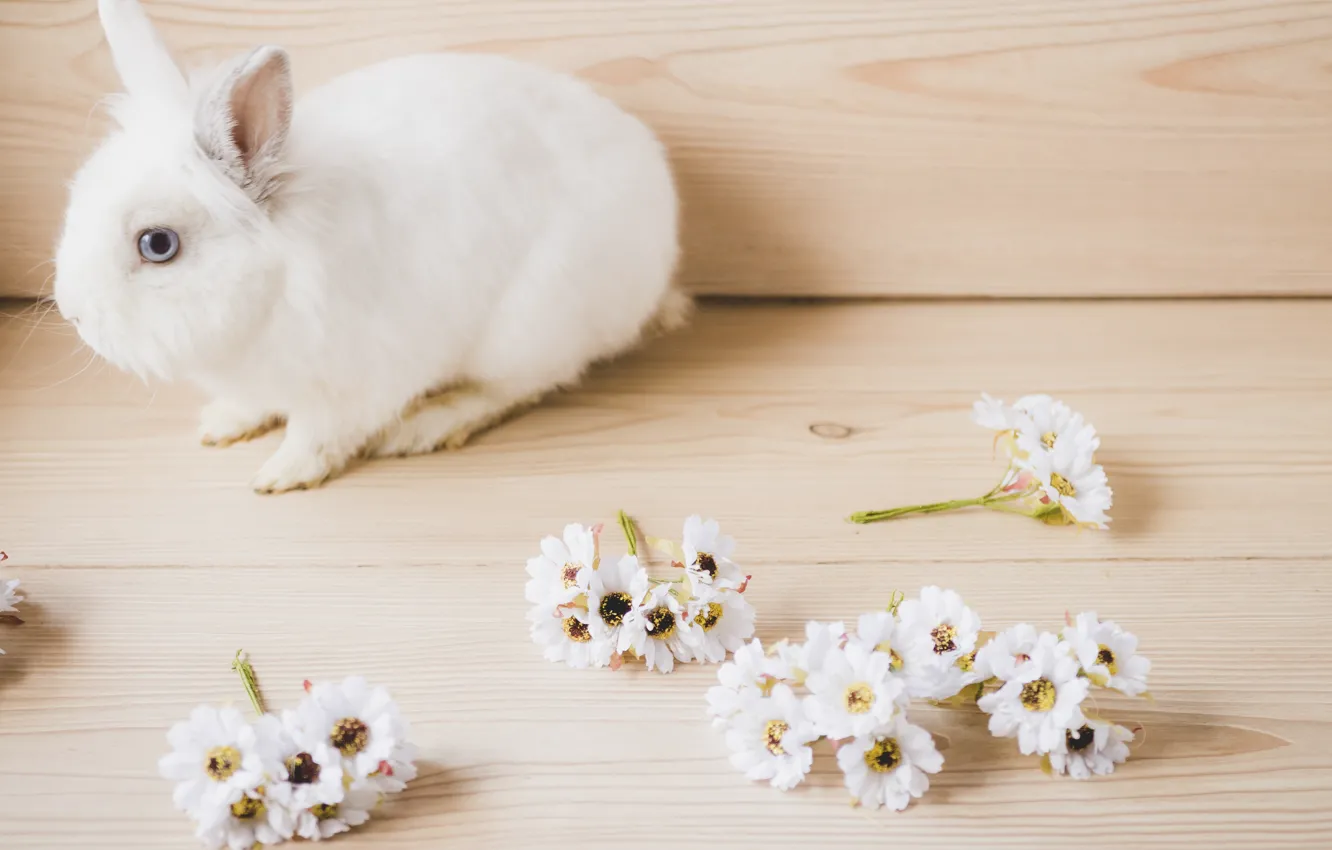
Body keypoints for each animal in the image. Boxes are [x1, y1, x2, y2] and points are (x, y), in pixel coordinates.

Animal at [53, 0, 688, 493]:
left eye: (158, 244)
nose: (73, 314)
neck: (274, 287)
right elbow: (256, 405)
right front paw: (223, 424)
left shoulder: (352, 386)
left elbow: (320, 435)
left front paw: (282, 473)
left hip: (528, 327)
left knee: (524, 385)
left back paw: (429, 425)